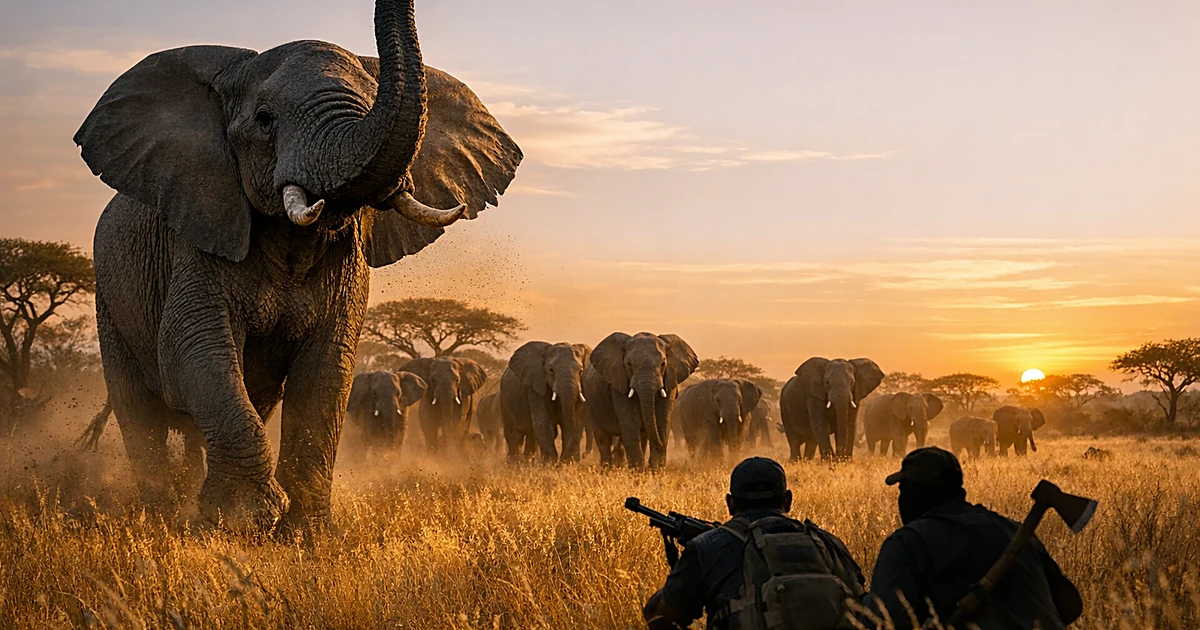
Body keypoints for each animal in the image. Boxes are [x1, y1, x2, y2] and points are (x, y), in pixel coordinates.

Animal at [75, 0, 521, 532]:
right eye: (265, 120)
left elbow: (326, 373)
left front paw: (305, 532)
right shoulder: (198, 233)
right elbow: (191, 351)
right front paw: (244, 519)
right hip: (109, 302)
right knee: (141, 413)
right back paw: (161, 513)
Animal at [582, 332, 698, 469]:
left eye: (663, 363)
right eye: (628, 364)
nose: (662, 444)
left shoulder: (670, 380)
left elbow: (663, 419)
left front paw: (655, 469)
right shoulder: (619, 383)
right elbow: (630, 422)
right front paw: (637, 470)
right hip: (593, 403)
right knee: (602, 436)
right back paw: (608, 468)